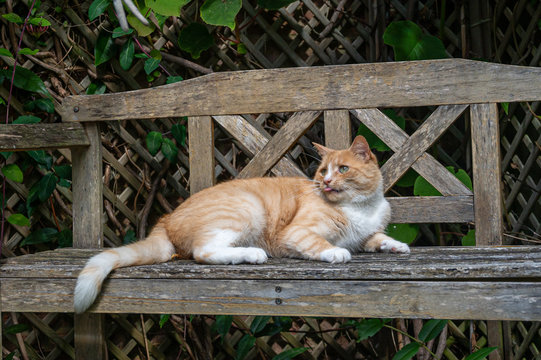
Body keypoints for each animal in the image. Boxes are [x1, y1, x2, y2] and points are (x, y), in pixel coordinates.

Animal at [73, 135, 410, 312]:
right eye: (322, 171)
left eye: (342, 169)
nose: (325, 182)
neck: (361, 208)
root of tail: (166, 218)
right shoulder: (297, 233)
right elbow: (322, 244)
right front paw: (337, 252)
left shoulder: (365, 235)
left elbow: (378, 238)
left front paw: (397, 246)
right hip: (247, 209)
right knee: (203, 252)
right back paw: (251, 254)